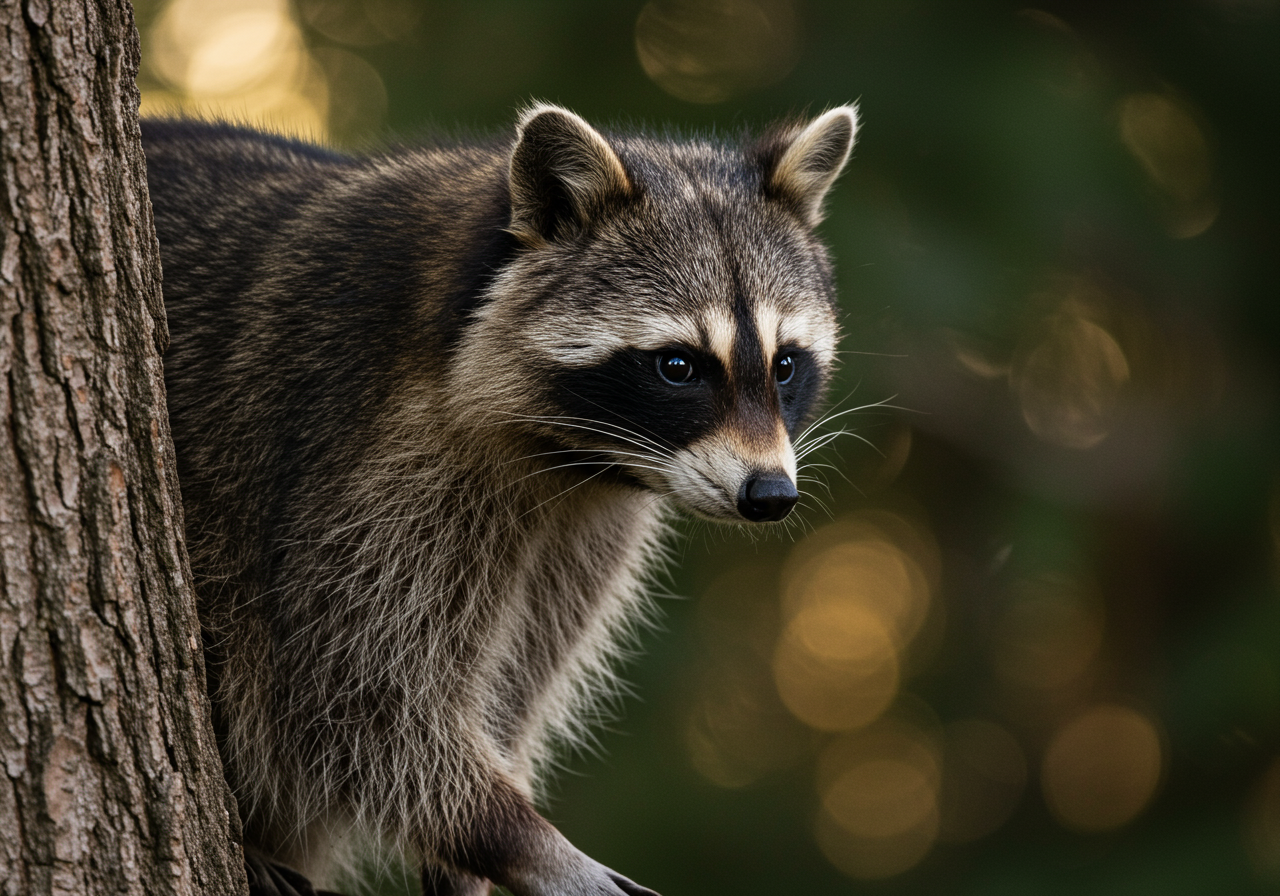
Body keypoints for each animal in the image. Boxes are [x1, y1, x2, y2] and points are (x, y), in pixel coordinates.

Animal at [141, 102, 857, 896]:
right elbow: (353, 689)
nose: (770, 495)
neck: (570, 459)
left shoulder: (582, 528)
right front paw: (518, 837)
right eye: (677, 366)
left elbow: (509, 682)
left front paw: (474, 848)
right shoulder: (361, 459)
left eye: (785, 364)